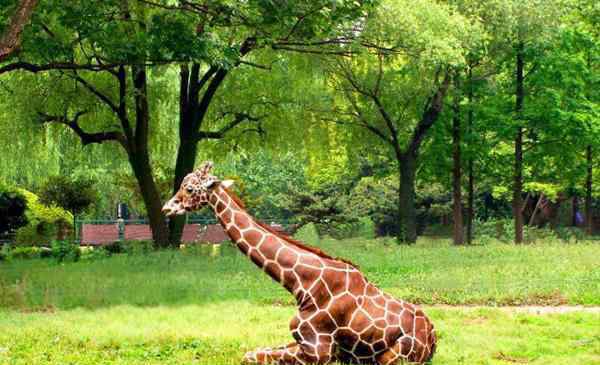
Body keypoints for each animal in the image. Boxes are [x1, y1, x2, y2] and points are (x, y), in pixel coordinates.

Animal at [163, 162, 436, 364]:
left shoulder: (319, 352)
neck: (300, 283)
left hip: (393, 357)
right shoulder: (301, 342)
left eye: (189, 188)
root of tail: (433, 338)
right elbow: (250, 353)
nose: (166, 208)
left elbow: (250, 356)